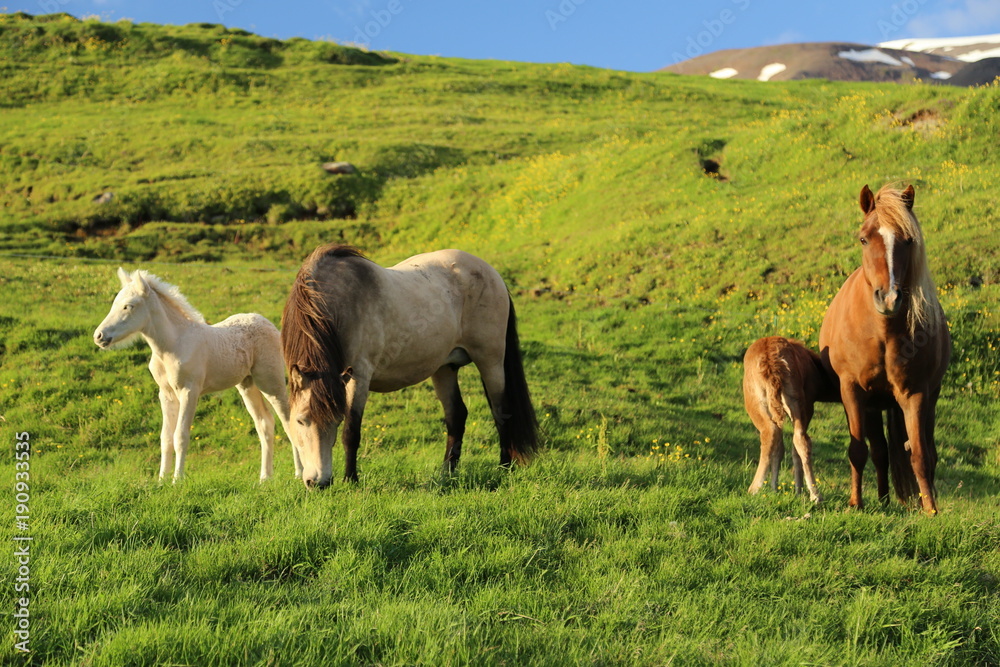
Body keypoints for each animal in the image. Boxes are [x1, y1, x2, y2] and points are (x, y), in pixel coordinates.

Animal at [93, 268, 299, 482]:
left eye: (128, 306)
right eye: (115, 303)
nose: (99, 336)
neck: (172, 344)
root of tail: (269, 324)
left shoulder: (189, 391)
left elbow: (180, 436)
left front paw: (177, 480)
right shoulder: (166, 394)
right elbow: (165, 438)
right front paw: (161, 480)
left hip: (270, 382)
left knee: (288, 421)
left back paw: (299, 474)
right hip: (247, 384)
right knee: (264, 424)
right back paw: (264, 478)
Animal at [280, 244, 539, 488]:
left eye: (335, 420)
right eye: (300, 420)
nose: (318, 482)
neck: (336, 302)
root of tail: (493, 273)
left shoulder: (358, 377)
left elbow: (351, 432)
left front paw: (351, 480)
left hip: (490, 361)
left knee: (501, 411)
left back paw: (504, 467)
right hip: (445, 368)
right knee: (456, 415)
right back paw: (447, 473)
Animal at [743, 336, 840, 503]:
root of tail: (772, 361)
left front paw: (786, 489)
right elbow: (784, 448)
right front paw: (783, 489)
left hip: (758, 402)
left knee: (773, 433)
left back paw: (754, 488)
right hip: (794, 400)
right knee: (797, 439)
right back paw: (814, 495)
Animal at [819, 184, 951, 514]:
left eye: (908, 240)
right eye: (864, 238)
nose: (889, 298)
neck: (882, 333)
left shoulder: (915, 394)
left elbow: (919, 454)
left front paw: (931, 510)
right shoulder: (852, 391)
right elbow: (858, 450)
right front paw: (855, 504)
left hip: (928, 399)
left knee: (925, 452)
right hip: (872, 405)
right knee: (879, 452)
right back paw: (881, 500)